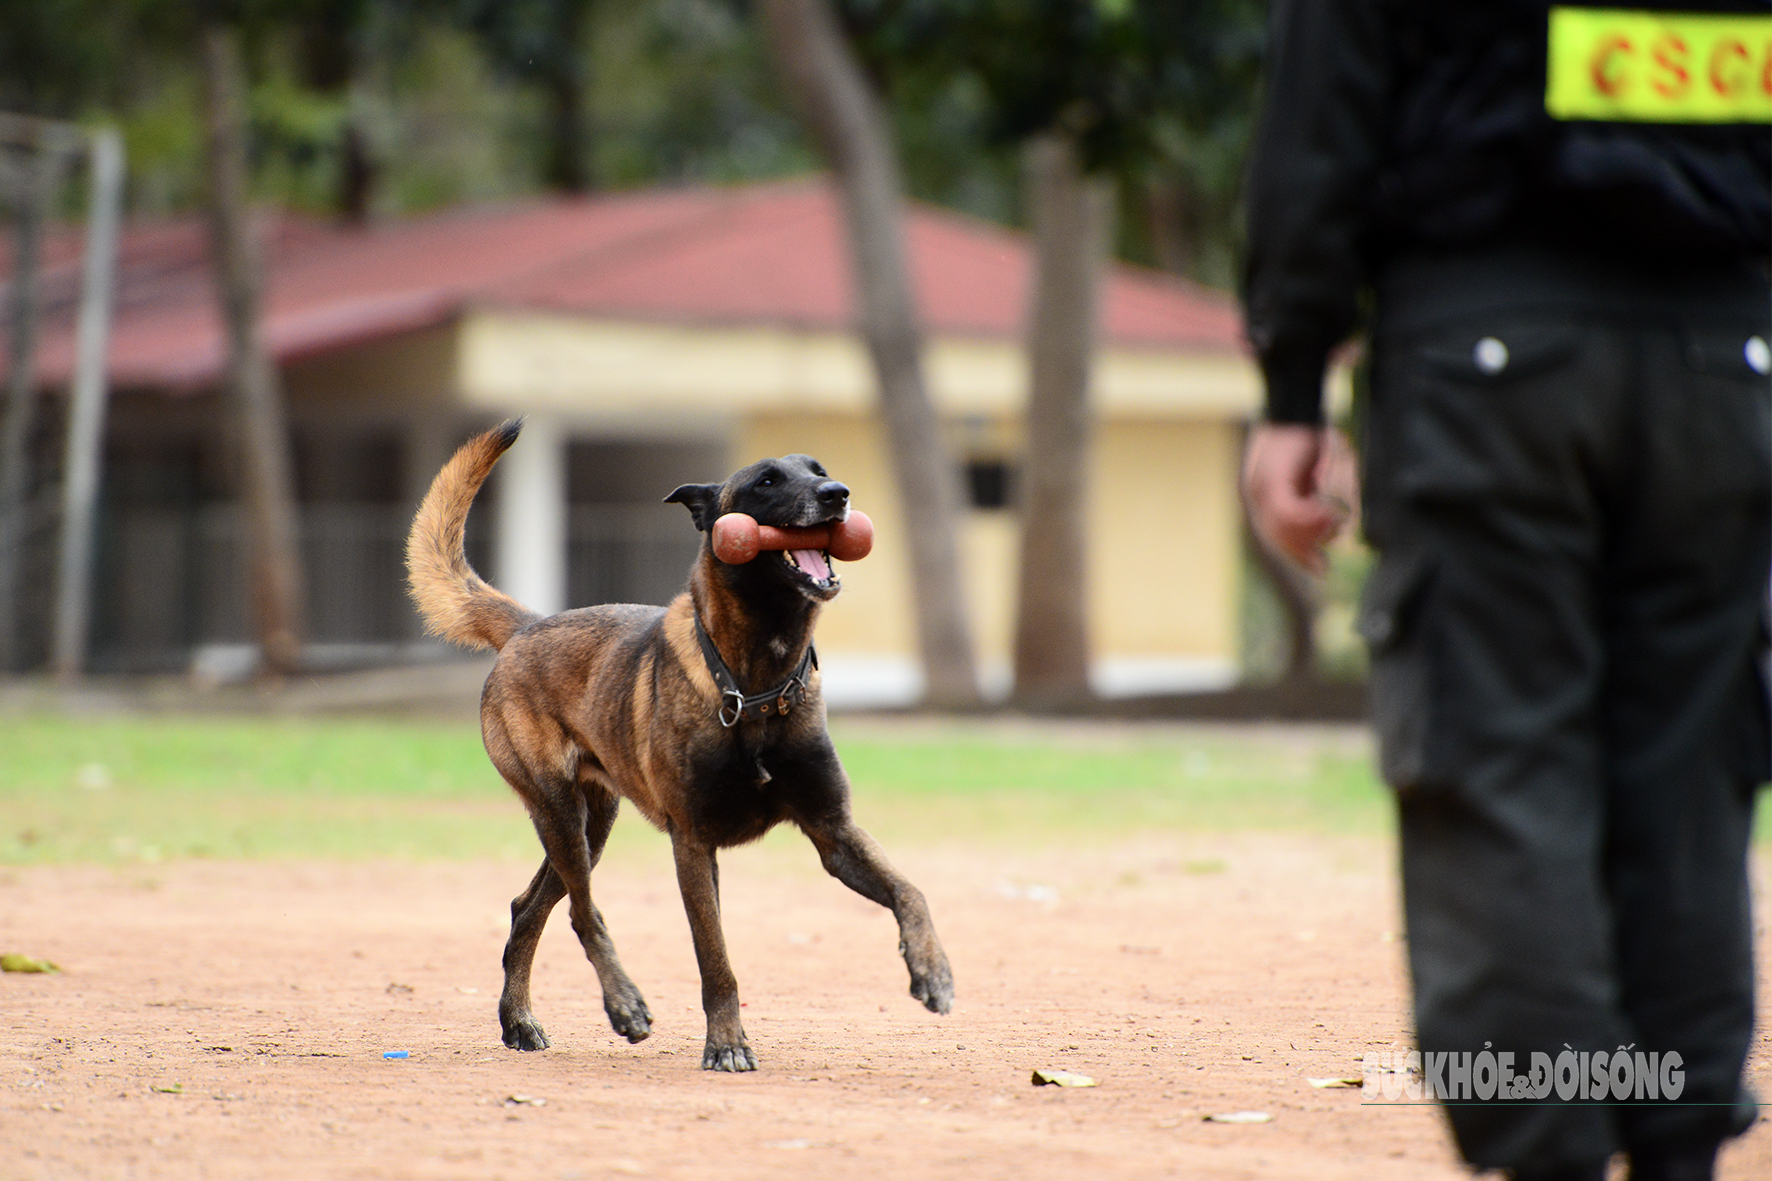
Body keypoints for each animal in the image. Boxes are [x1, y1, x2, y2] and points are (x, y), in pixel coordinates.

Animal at [405, 420, 956, 1063]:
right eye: (767, 481)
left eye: (818, 471)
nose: (837, 495)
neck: (755, 684)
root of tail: (527, 626)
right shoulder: (693, 845)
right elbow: (716, 959)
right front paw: (727, 1045)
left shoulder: (833, 833)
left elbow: (911, 890)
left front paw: (932, 971)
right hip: (560, 813)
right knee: (583, 913)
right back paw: (623, 1005)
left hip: (592, 825)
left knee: (530, 909)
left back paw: (517, 1021)